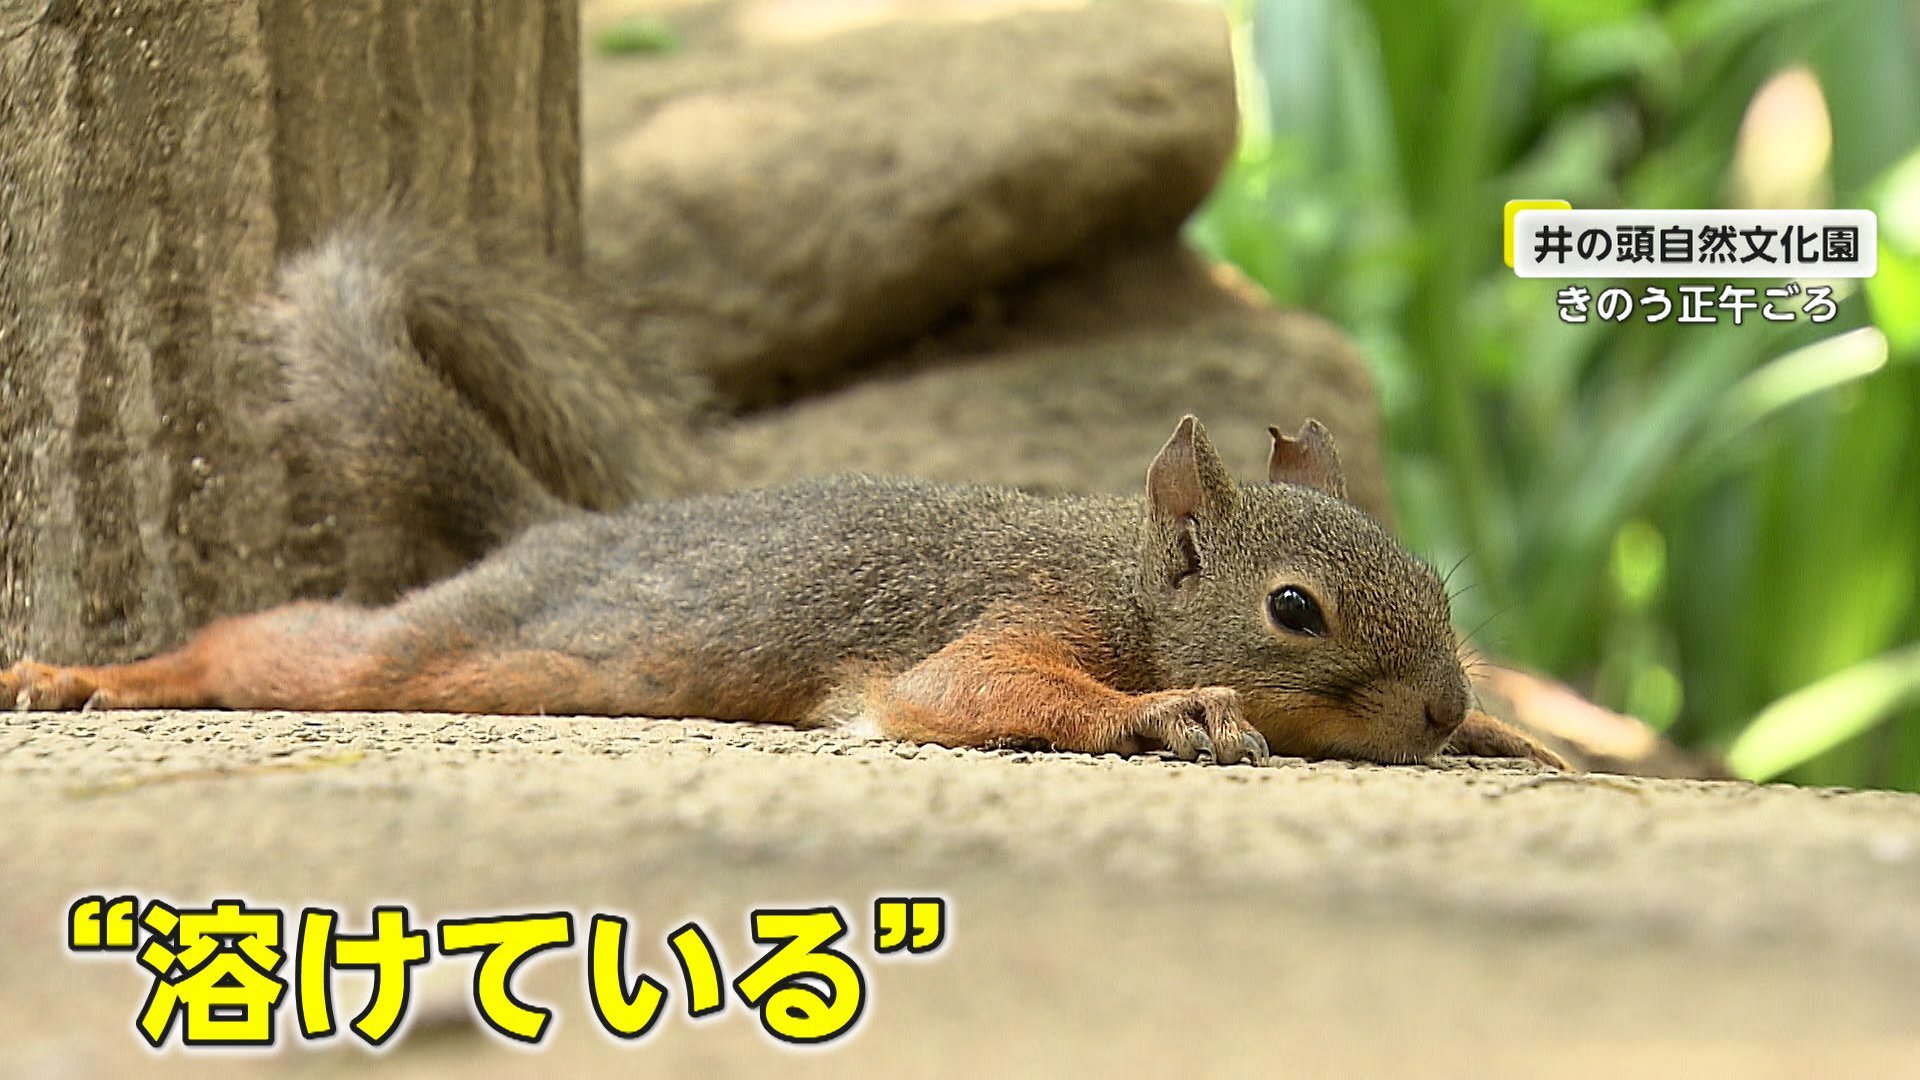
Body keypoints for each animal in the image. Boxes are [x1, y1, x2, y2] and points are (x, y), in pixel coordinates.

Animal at [3, 219, 1559, 764]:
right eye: (1295, 610)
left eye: (1436, 585)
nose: (1443, 711)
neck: (1126, 580)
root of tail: (552, 527)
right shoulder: (1014, 621)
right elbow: (966, 692)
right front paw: (1171, 711)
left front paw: (1517, 740)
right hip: (437, 645)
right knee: (272, 646)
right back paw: (89, 677)